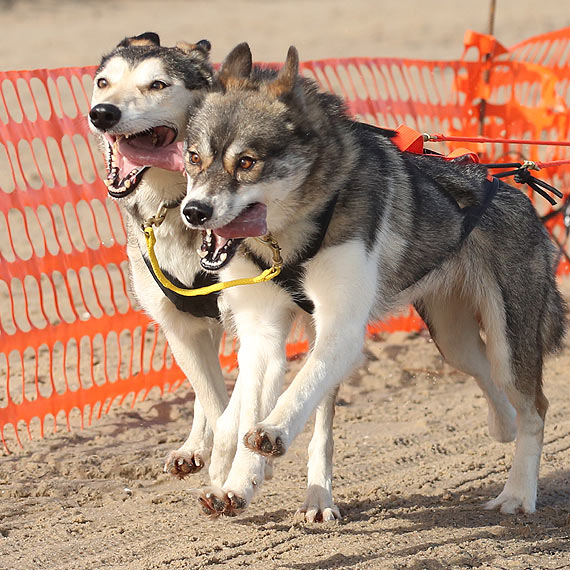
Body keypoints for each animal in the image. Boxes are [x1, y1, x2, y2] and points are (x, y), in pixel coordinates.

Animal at [178, 42, 564, 516]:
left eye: (247, 162)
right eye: (194, 157)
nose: (193, 212)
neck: (288, 237)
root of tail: (517, 191)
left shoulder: (341, 327)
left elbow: (302, 385)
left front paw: (274, 432)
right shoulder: (262, 330)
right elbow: (253, 403)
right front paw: (236, 485)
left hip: (509, 338)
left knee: (535, 408)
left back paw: (517, 493)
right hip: (452, 338)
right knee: (488, 379)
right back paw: (501, 424)